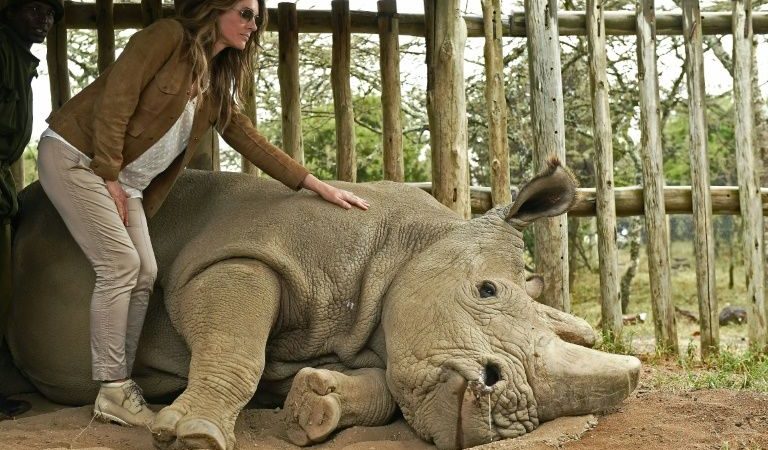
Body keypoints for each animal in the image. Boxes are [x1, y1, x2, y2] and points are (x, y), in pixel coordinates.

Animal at [4, 158, 640, 450]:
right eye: (486, 291)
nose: (504, 413)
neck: (409, 244)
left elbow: (379, 384)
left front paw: (315, 407)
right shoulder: (239, 257)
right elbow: (238, 347)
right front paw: (192, 433)